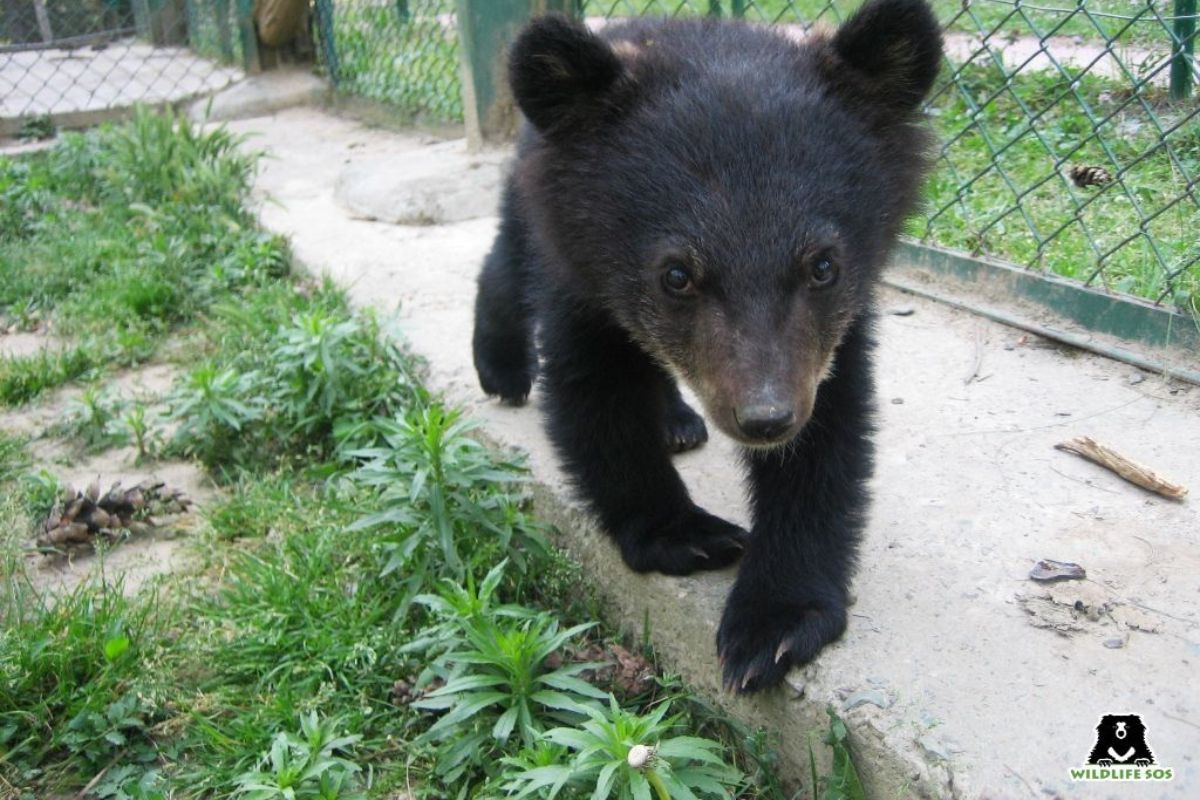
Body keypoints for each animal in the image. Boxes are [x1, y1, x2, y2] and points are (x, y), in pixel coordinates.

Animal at [472, 0, 943, 692]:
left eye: (823, 265)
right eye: (676, 274)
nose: (766, 418)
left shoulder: (830, 335)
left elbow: (831, 432)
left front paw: (775, 625)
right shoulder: (581, 277)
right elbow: (596, 397)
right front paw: (690, 536)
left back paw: (677, 420)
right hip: (534, 208)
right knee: (507, 260)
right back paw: (502, 368)